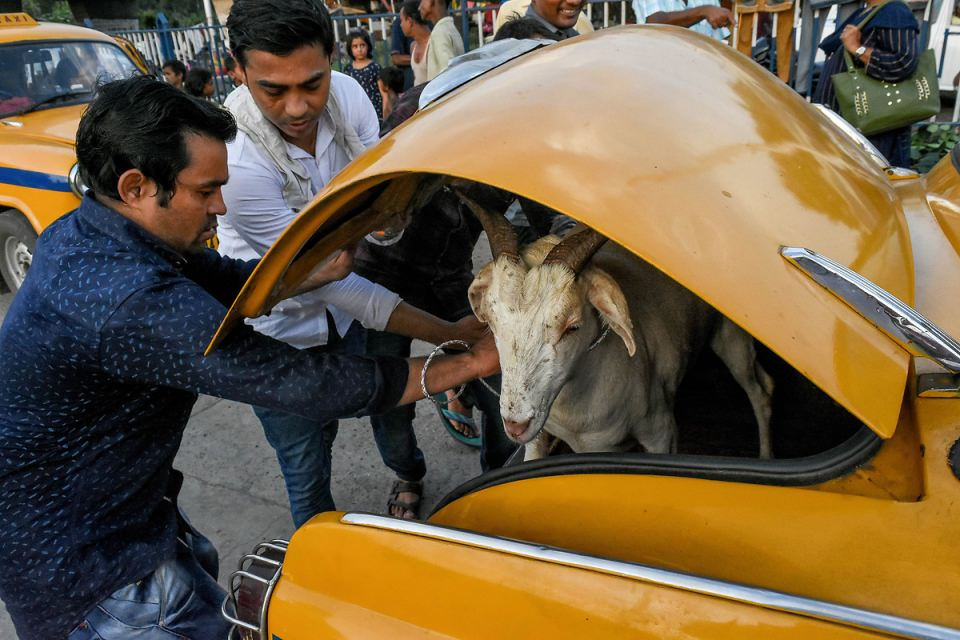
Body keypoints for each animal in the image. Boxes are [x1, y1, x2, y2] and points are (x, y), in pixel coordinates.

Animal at [454, 185, 776, 460]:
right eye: (492, 323)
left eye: (572, 326)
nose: (515, 425)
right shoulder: (538, 437)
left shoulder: (661, 432)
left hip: (731, 336)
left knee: (760, 393)